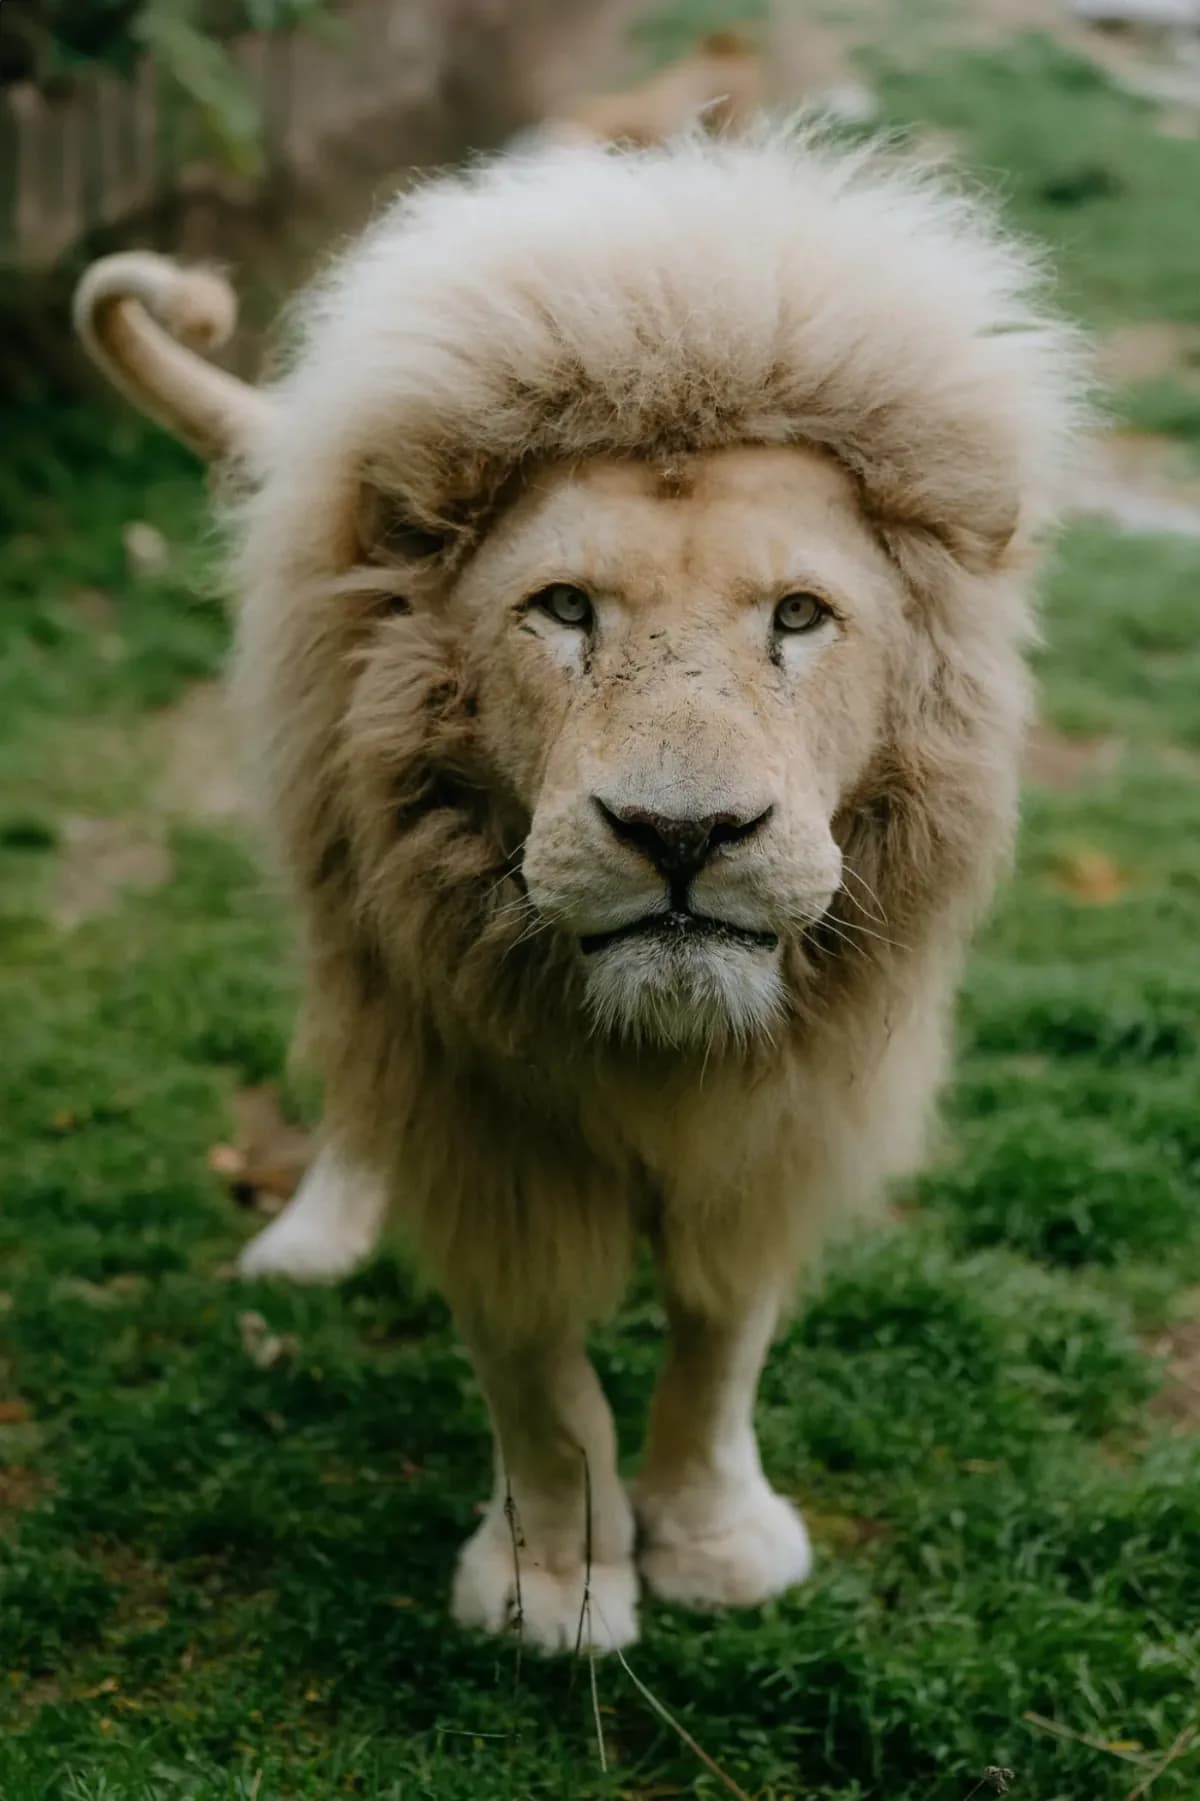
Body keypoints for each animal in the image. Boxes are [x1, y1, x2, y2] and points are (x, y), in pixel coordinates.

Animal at [74, 130, 1086, 1654]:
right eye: (562, 609)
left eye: (799, 617)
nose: (684, 833)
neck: (657, 1047)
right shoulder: (480, 1125)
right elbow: (541, 1383)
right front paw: (552, 1585)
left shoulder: (780, 1115)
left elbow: (723, 1343)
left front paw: (715, 1541)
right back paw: (317, 1232)